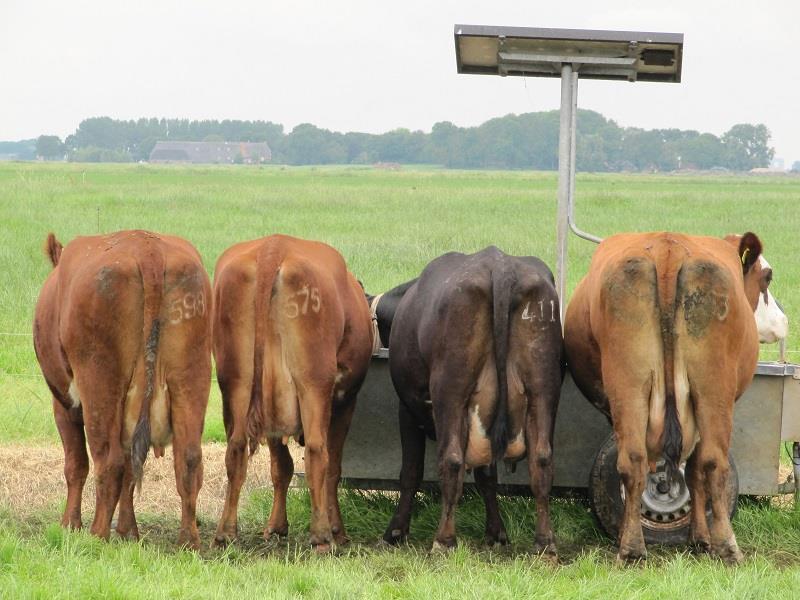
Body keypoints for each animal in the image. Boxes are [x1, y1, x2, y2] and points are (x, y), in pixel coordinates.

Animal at [32, 230, 211, 548]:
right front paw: (129, 532)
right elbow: (131, 469)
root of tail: (148, 248)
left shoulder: (64, 403)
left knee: (108, 461)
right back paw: (188, 542)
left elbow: (76, 464)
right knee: (188, 460)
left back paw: (96, 535)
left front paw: (69, 525)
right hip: (191, 376)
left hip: (99, 383)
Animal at [212, 232, 376, 552]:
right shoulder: (344, 403)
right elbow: (332, 469)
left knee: (235, 449)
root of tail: (273, 246)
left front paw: (276, 526)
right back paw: (323, 536)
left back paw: (226, 532)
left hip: (237, 382)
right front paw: (337, 530)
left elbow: (281, 467)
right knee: (317, 453)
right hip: (313, 384)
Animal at [368, 246, 564, 552]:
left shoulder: (408, 408)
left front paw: (395, 532)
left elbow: (411, 472)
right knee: (542, 460)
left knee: (451, 461)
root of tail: (500, 263)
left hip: (451, 392)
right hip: (543, 389)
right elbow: (488, 476)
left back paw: (443, 540)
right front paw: (496, 533)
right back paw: (545, 543)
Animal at [564, 231, 776, 564]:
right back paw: (727, 546)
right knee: (713, 463)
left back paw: (631, 547)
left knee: (633, 460)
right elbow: (695, 470)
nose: (782, 322)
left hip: (630, 385)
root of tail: (668, 249)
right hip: (712, 390)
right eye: (766, 277)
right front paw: (700, 539)